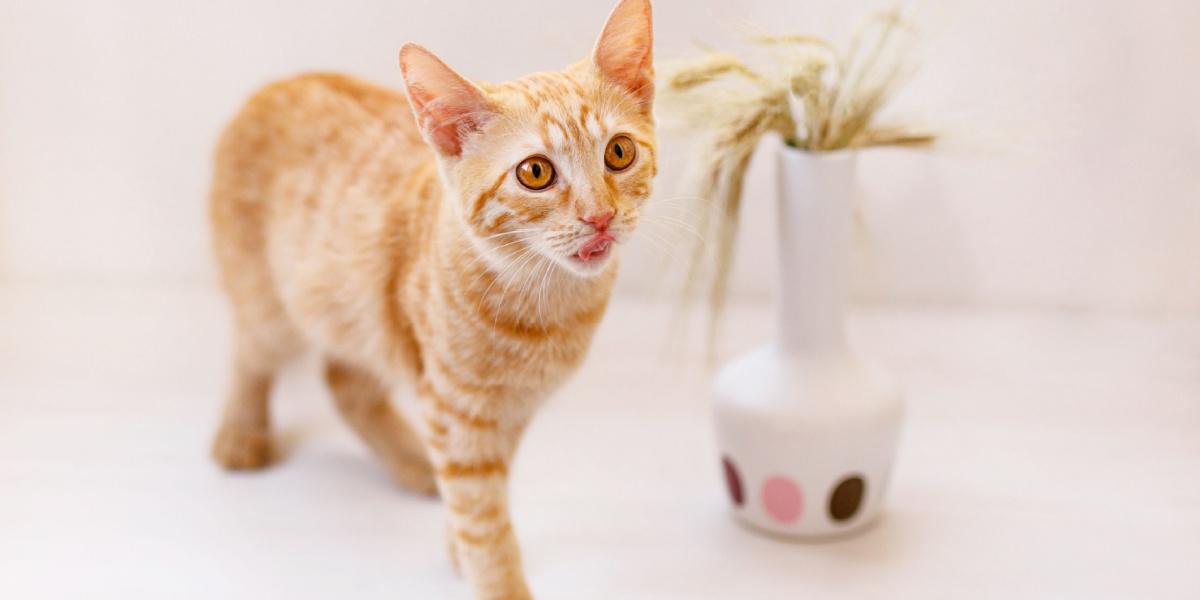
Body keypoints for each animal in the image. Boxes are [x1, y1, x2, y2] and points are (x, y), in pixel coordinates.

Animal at [207, 0, 657, 597]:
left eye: (619, 152)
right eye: (536, 172)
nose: (599, 216)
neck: (546, 307)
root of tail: (277, 83)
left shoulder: (509, 412)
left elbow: (486, 492)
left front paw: (455, 546)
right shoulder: (456, 405)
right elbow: (483, 516)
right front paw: (495, 578)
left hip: (355, 312)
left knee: (344, 381)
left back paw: (413, 463)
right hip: (271, 302)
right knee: (251, 354)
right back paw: (241, 433)